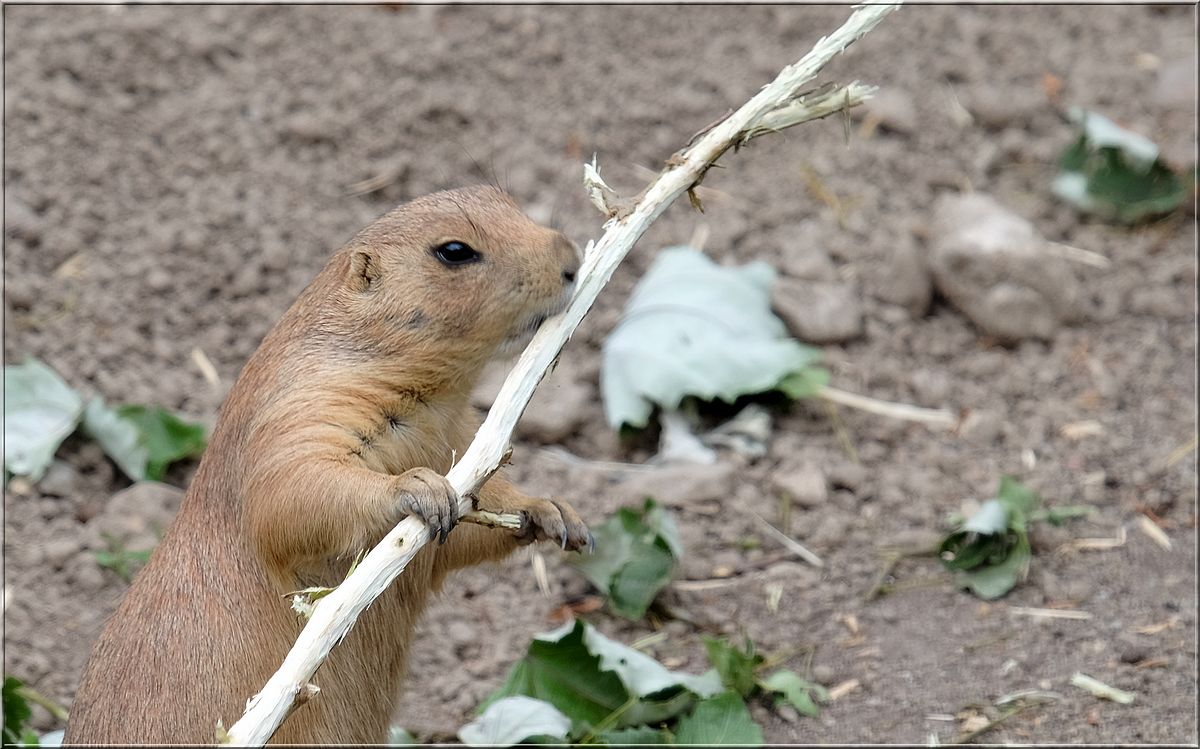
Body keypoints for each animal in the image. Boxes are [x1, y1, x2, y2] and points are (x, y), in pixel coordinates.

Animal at [64, 186, 592, 744]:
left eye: (506, 198)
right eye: (454, 250)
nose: (571, 258)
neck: (437, 398)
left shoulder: (457, 437)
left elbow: (478, 511)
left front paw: (555, 513)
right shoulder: (302, 410)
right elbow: (293, 487)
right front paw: (416, 489)